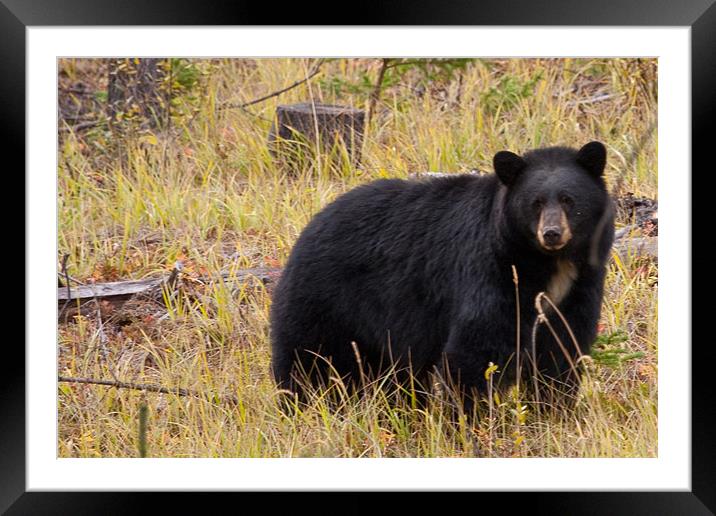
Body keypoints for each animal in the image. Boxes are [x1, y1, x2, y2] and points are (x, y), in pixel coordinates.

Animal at [270, 141, 616, 412]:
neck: (548, 265)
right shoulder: (492, 273)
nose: (552, 233)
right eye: (536, 203)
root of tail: (311, 224)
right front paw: (468, 423)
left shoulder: (580, 285)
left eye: (570, 200)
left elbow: (561, 349)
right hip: (326, 301)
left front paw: (554, 412)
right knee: (309, 362)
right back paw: (301, 408)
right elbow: (477, 349)